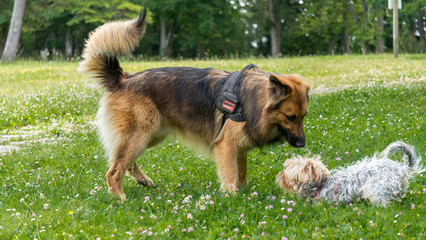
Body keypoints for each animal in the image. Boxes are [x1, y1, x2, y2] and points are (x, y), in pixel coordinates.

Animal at [80, 9, 310, 201]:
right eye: (290, 117)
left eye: (304, 116)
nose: (302, 145)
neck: (252, 101)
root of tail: (123, 79)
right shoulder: (226, 146)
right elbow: (231, 178)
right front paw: (233, 199)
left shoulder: (240, 148)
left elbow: (242, 175)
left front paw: (246, 194)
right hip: (140, 133)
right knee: (114, 170)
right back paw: (120, 198)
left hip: (150, 134)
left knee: (121, 161)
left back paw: (142, 180)